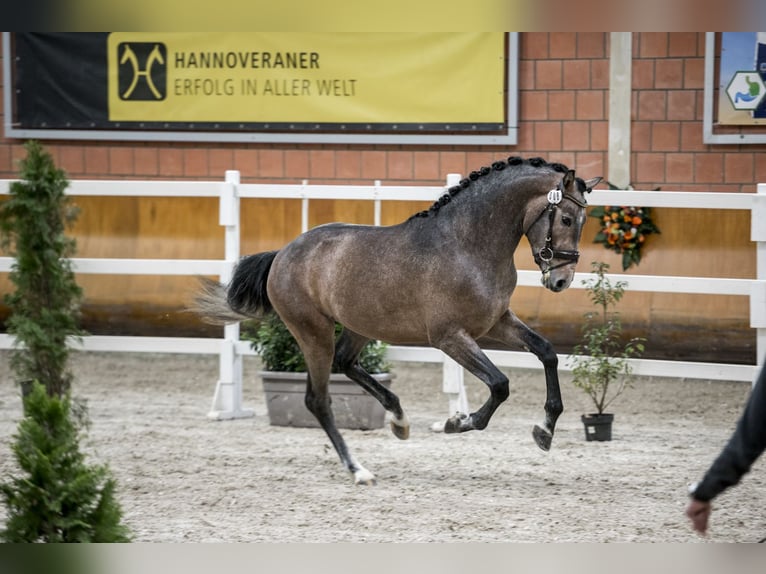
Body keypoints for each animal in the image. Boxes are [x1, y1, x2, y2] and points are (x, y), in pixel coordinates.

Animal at [190, 156, 600, 486]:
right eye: (566, 218)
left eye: (582, 220)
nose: (561, 281)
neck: (467, 245)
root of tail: (283, 254)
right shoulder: (450, 337)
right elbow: (500, 384)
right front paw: (457, 423)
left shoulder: (495, 322)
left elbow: (546, 352)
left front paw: (544, 430)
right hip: (313, 332)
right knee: (318, 399)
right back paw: (359, 470)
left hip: (357, 326)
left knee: (347, 363)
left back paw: (399, 420)